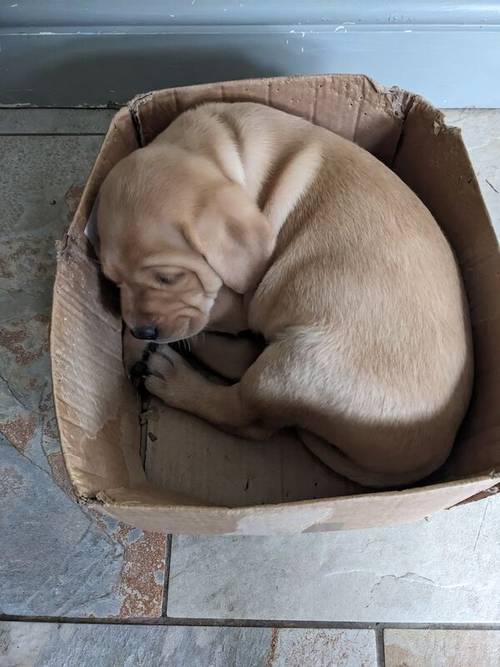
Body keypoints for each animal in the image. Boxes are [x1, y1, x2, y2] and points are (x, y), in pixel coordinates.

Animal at [96, 102, 472, 488]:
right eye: (112, 280)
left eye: (168, 278)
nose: (142, 329)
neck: (219, 147)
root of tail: (432, 455)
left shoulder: (239, 300)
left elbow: (205, 319)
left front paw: (142, 341)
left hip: (291, 368)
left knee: (244, 414)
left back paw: (166, 372)